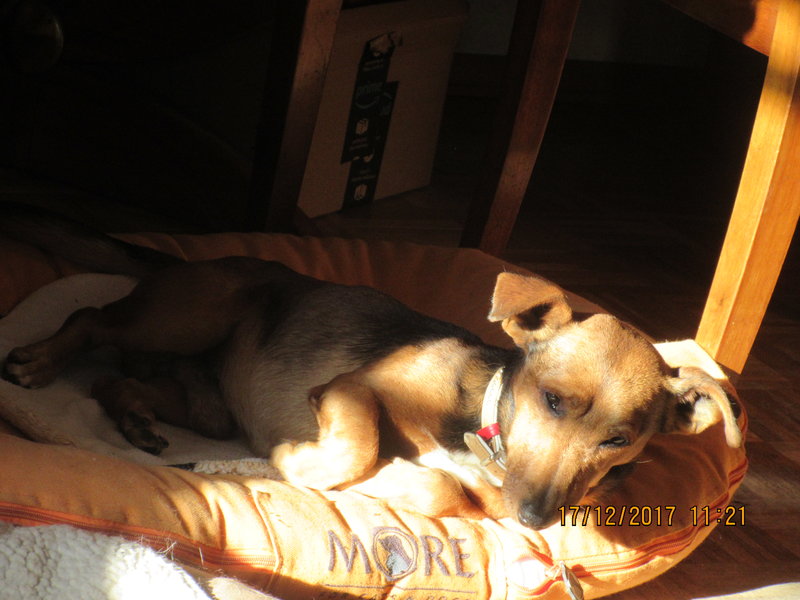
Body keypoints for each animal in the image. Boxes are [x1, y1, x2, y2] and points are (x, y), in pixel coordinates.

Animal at [0, 204, 742, 529]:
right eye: (553, 402)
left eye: (619, 442)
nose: (535, 520)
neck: (480, 420)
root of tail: (178, 260)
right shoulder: (352, 387)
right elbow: (357, 449)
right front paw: (299, 463)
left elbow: (441, 490)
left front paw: (402, 482)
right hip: (196, 311)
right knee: (90, 318)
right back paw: (38, 360)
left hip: (204, 401)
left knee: (117, 377)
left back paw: (137, 423)